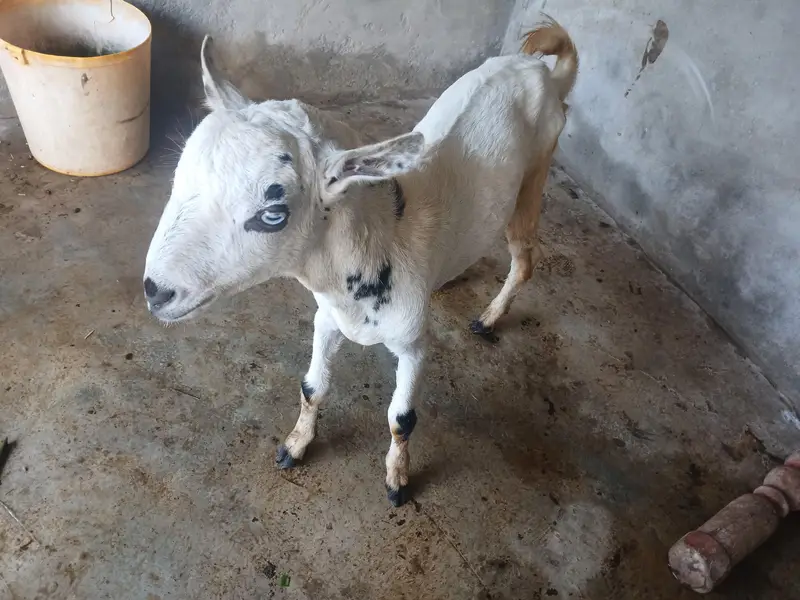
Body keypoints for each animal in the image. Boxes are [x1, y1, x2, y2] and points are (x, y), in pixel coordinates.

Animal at [143, 18, 578, 506]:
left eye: (273, 213)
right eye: (180, 172)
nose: (155, 291)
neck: (383, 236)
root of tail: (544, 72)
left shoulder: (413, 342)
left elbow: (401, 419)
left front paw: (397, 482)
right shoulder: (327, 318)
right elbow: (312, 387)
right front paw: (294, 446)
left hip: (536, 173)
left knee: (524, 260)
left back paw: (488, 319)